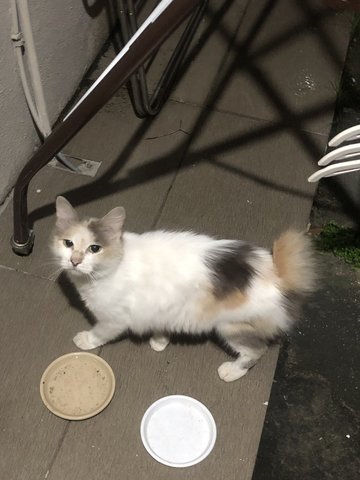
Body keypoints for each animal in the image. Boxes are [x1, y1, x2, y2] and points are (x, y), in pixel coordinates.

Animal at [50, 196, 316, 382]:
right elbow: (159, 324)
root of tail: (278, 275)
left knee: (255, 351)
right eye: (68, 243)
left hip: (232, 326)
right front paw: (159, 341)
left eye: (94, 249)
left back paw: (231, 372)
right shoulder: (159, 307)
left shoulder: (113, 319)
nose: (74, 261)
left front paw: (85, 340)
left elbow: (100, 333)